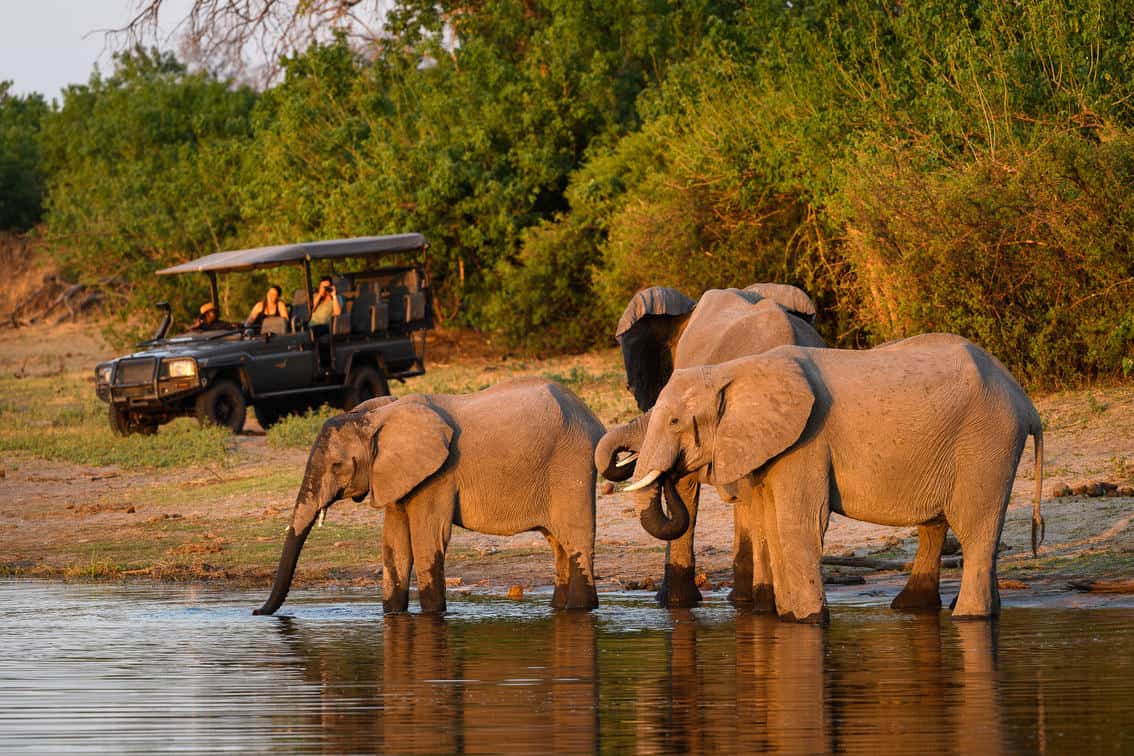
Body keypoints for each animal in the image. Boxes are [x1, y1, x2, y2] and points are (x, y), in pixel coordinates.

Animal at [253, 377, 605, 616]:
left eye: (338, 466)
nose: (256, 612)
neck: (379, 416)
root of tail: (592, 418)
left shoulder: (439, 473)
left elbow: (428, 536)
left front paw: (433, 615)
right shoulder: (396, 474)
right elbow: (394, 544)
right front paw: (393, 615)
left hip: (571, 464)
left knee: (575, 539)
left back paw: (582, 609)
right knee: (558, 543)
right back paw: (560, 608)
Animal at [622, 333, 1044, 623]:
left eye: (675, 422)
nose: (672, 476)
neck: (734, 370)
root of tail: (1026, 402)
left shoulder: (807, 441)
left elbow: (800, 523)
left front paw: (810, 621)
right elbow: (774, 525)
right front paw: (790, 618)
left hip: (987, 441)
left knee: (975, 528)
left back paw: (969, 617)